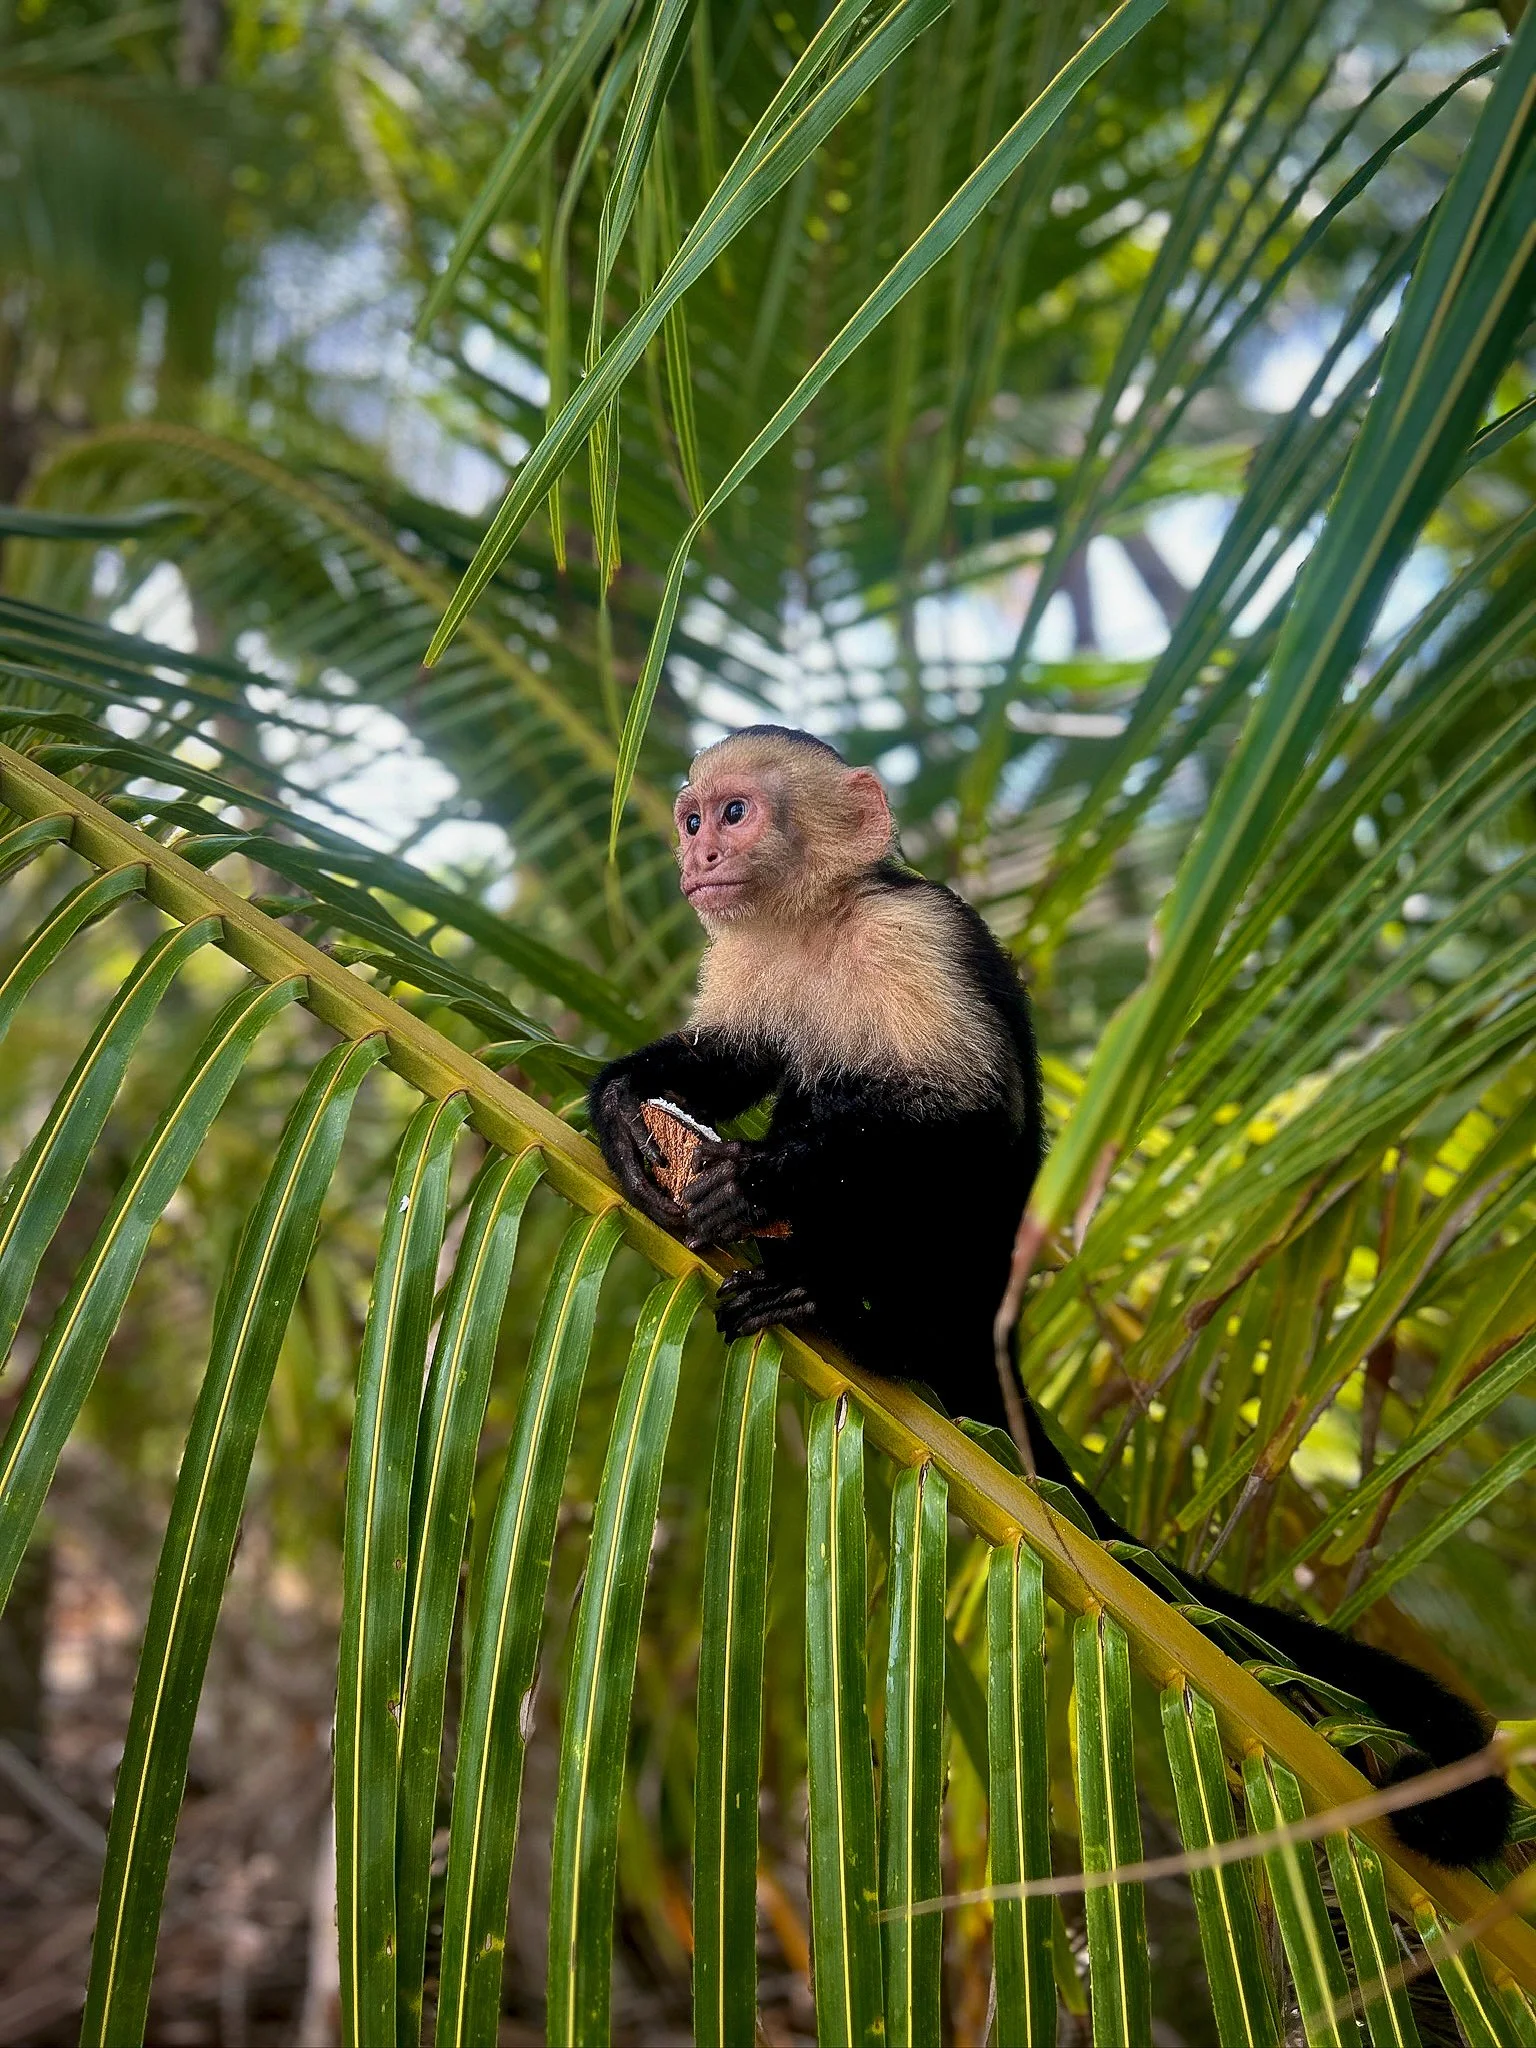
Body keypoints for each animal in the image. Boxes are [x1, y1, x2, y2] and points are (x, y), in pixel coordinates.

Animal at [589, 725, 1514, 1870]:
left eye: (734, 813)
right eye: (691, 817)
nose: (697, 855)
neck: (815, 925)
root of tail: (993, 1331)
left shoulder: (915, 935)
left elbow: (965, 1120)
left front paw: (764, 1180)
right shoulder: (747, 956)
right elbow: (727, 1061)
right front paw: (622, 1106)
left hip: (963, 1276)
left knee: (909, 1132)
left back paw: (849, 1309)